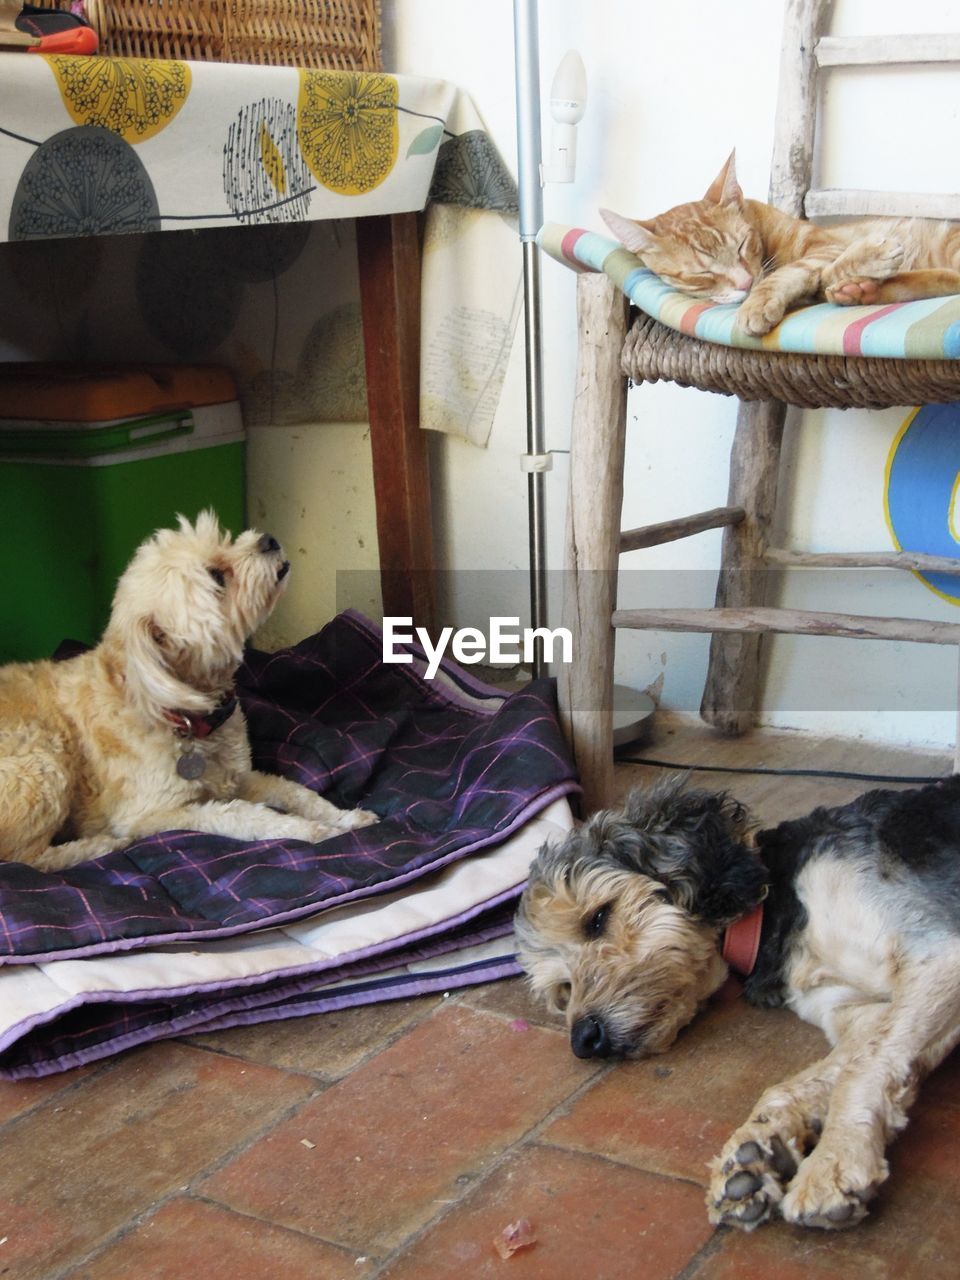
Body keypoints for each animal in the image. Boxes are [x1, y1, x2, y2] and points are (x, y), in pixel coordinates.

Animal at [0, 514, 376, 875]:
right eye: (217, 577)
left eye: (225, 540)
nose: (268, 539)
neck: (184, 715)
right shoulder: (155, 813)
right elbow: (245, 816)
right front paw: (312, 831)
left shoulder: (239, 776)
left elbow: (296, 792)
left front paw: (344, 817)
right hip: (43, 767)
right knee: (25, 860)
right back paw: (96, 847)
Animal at [514, 773, 960, 1233]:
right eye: (564, 988)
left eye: (598, 918)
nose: (584, 1040)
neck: (780, 905)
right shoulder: (859, 1011)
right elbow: (813, 1078)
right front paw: (757, 1152)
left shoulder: (940, 956)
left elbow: (864, 1065)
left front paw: (833, 1163)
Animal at [601, 150, 960, 337]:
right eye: (701, 275)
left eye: (742, 245)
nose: (745, 283)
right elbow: (820, 278)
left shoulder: (824, 247)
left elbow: (804, 271)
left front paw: (757, 302)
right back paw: (863, 291)